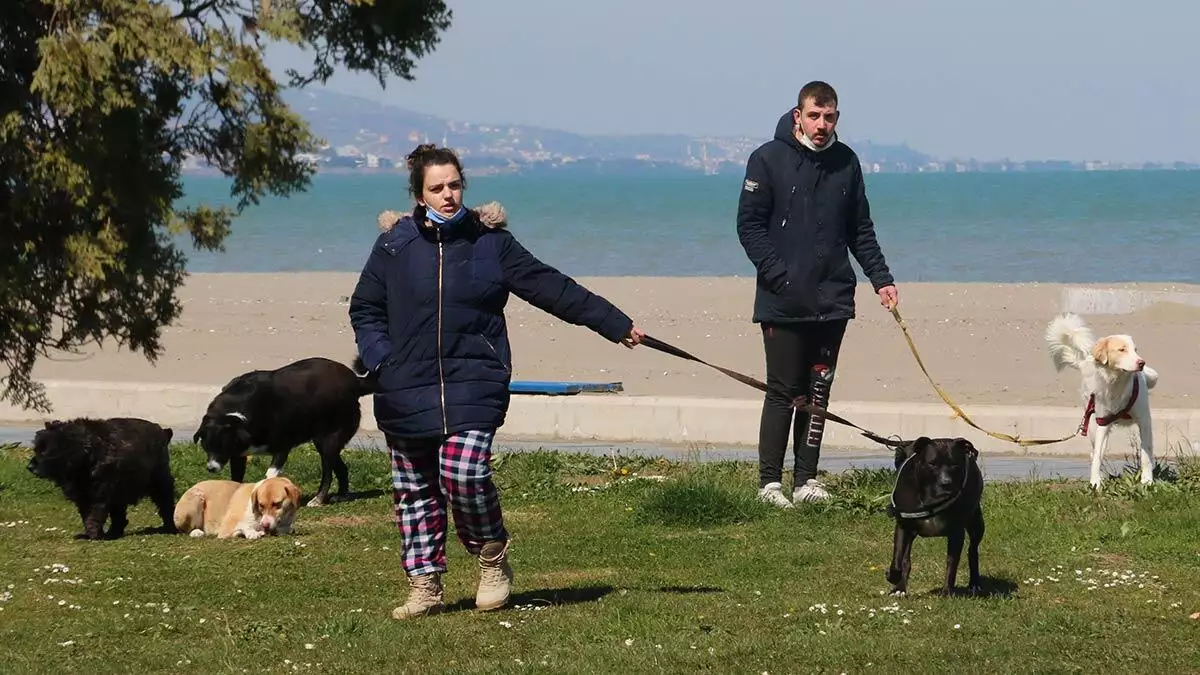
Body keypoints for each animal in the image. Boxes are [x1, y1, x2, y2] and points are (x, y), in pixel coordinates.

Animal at [27, 417, 176, 538]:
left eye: (44, 451)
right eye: (36, 449)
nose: (29, 466)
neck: (86, 454)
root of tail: (163, 432)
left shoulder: (99, 493)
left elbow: (94, 514)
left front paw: (93, 534)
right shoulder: (83, 495)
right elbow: (87, 515)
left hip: (159, 482)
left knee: (165, 504)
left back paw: (170, 527)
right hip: (119, 492)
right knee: (119, 516)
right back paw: (114, 532)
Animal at [194, 353, 376, 504]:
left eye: (222, 446)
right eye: (206, 447)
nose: (211, 468)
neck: (234, 413)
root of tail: (355, 381)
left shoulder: (282, 447)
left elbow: (270, 475)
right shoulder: (238, 454)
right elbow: (236, 479)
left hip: (328, 441)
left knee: (328, 472)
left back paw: (318, 499)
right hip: (323, 443)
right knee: (342, 468)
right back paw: (342, 495)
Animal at [888, 429, 979, 593]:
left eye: (955, 464)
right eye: (932, 464)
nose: (946, 483)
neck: (931, 499)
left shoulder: (956, 532)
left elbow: (952, 563)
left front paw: (947, 592)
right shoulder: (903, 526)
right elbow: (898, 557)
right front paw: (895, 580)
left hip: (976, 523)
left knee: (973, 551)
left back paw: (975, 583)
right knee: (905, 559)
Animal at [1046, 312, 1156, 485]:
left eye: (1135, 350)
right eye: (1122, 349)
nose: (1142, 363)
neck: (1117, 385)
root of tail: (1084, 362)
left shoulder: (1144, 421)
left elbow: (1146, 454)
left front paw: (1147, 480)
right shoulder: (1102, 422)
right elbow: (1097, 456)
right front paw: (1095, 482)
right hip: (1092, 424)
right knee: (1095, 452)